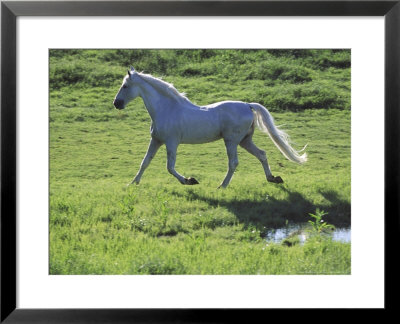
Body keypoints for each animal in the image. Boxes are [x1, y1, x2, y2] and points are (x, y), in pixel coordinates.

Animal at [114, 67, 308, 189]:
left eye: (125, 86)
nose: (116, 104)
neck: (166, 109)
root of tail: (247, 105)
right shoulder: (156, 140)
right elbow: (145, 162)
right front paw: (132, 184)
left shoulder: (171, 142)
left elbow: (170, 167)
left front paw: (189, 181)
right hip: (245, 141)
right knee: (262, 154)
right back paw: (273, 178)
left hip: (231, 141)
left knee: (234, 163)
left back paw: (222, 186)